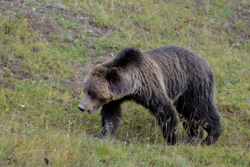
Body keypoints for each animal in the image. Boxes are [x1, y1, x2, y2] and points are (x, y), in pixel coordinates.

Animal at [78, 45, 223, 145]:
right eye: (85, 90)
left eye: (91, 93)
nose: (81, 106)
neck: (132, 88)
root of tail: (205, 61)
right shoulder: (117, 97)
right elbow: (111, 115)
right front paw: (103, 135)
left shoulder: (150, 87)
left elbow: (165, 111)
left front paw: (172, 140)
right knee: (189, 115)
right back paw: (193, 137)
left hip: (194, 86)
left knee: (200, 109)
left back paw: (210, 137)